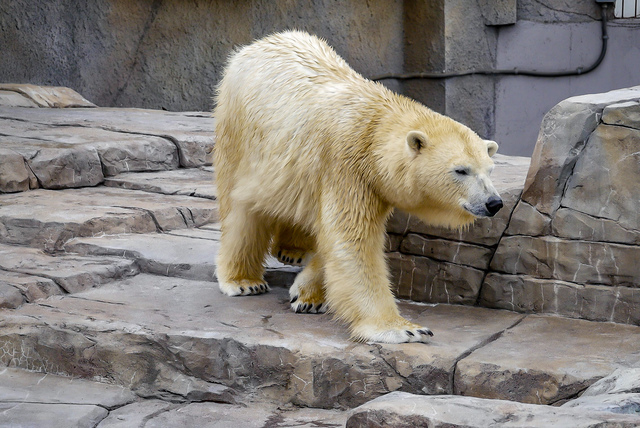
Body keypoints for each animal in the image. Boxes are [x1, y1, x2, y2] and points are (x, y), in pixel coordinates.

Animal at [212, 30, 502, 344]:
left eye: (489, 169)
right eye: (461, 170)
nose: (494, 203)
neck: (375, 126)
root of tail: (254, 46)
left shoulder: (370, 182)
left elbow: (336, 241)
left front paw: (308, 294)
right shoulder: (347, 165)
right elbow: (353, 242)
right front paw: (403, 328)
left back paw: (293, 250)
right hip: (241, 132)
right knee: (242, 208)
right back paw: (243, 280)